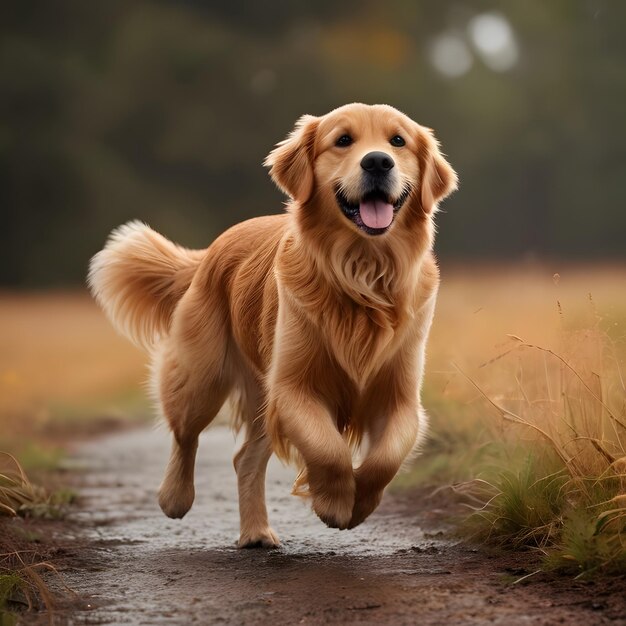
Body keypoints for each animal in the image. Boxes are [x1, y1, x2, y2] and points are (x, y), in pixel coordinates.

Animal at [88, 103, 454, 544]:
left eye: (398, 141)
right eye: (343, 140)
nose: (378, 162)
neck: (361, 274)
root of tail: (209, 251)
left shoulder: (399, 394)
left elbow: (386, 457)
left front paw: (360, 504)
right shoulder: (292, 386)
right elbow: (327, 447)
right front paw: (334, 504)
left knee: (244, 458)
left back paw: (257, 532)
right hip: (203, 376)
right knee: (185, 434)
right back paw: (174, 496)